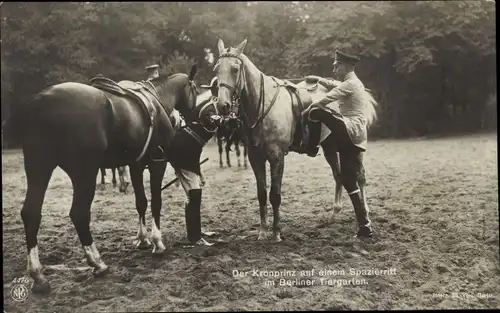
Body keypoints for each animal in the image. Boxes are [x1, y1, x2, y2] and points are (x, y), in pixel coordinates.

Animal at [4, 65, 199, 292]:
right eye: (194, 89)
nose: (193, 116)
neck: (158, 99)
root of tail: (42, 101)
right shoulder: (157, 163)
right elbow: (156, 202)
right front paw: (157, 242)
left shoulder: (135, 165)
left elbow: (141, 202)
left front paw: (143, 239)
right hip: (84, 173)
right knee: (79, 214)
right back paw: (97, 263)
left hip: (39, 169)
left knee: (31, 214)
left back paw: (38, 275)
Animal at [213, 37, 376, 240]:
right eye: (217, 69)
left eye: (235, 69)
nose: (223, 105)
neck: (263, 105)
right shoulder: (255, 158)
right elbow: (261, 194)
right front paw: (263, 231)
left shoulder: (277, 158)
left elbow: (275, 195)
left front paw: (276, 233)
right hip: (329, 147)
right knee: (339, 176)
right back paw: (334, 213)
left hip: (353, 149)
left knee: (359, 178)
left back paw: (365, 216)